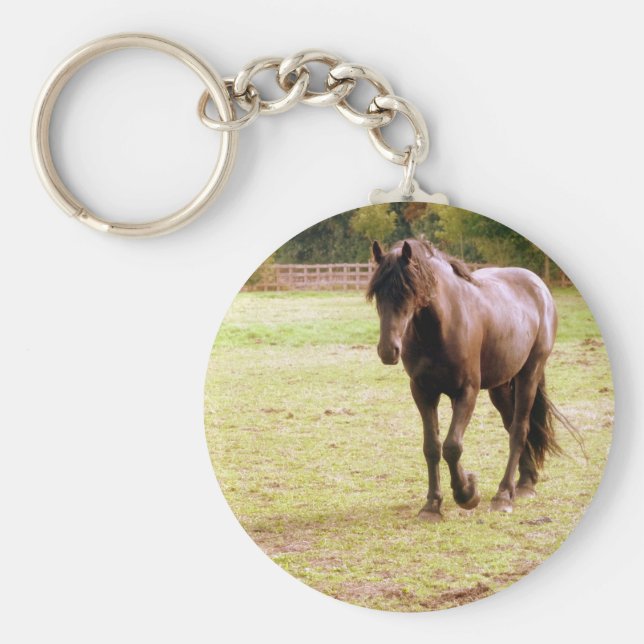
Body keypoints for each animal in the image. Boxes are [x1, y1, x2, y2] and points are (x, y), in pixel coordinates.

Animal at [367, 237, 569, 520]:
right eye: (377, 293)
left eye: (408, 291)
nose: (388, 350)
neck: (440, 327)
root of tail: (538, 285)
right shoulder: (423, 392)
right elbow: (433, 447)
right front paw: (433, 505)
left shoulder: (467, 391)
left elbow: (452, 446)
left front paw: (467, 494)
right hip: (500, 387)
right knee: (511, 426)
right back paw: (525, 482)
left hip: (530, 373)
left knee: (519, 429)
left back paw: (504, 495)